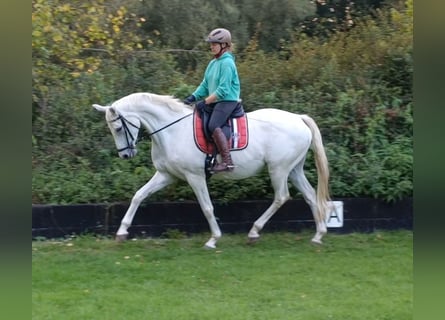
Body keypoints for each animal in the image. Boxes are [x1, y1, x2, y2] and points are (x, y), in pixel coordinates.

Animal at [93, 92, 330, 248]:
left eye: (117, 128)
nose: (125, 155)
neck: (171, 131)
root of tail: (298, 118)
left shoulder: (195, 176)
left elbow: (207, 207)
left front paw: (213, 238)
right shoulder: (166, 175)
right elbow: (138, 195)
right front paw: (122, 231)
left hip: (278, 169)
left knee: (281, 197)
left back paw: (254, 231)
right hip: (294, 169)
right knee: (310, 195)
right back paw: (318, 235)